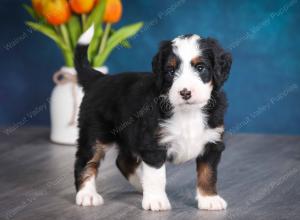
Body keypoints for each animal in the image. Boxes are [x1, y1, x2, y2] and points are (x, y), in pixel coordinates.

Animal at [73, 25, 232, 211]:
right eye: (170, 71)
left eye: (200, 68)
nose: (185, 92)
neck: (188, 112)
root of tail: (99, 78)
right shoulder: (153, 145)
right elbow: (156, 176)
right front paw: (156, 200)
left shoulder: (212, 141)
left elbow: (208, 173)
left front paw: (209, 199)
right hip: (95, 133)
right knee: (85, 162)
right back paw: (87, 195)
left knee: (123, 161)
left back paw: (141, 185)